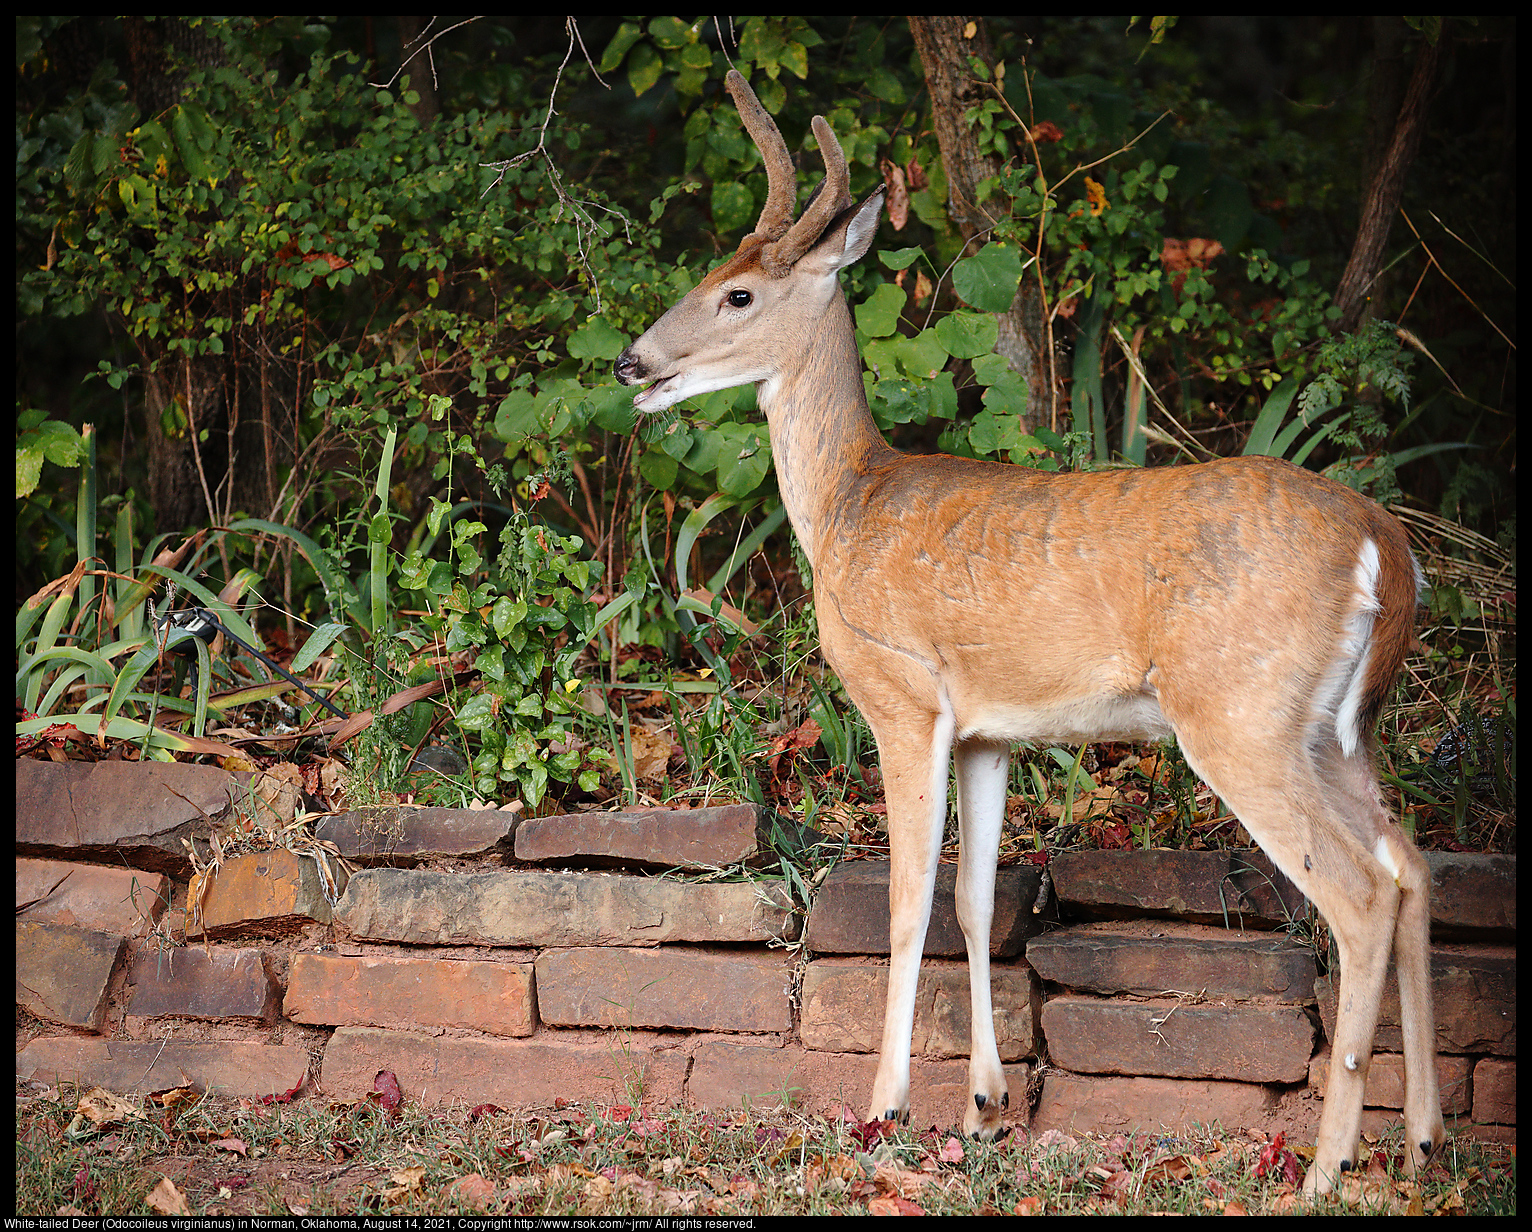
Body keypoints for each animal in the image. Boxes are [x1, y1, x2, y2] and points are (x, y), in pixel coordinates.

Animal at [612, 69, 1433, 1195]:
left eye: (737, 294)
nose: (630, 361)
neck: (846, 507)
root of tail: (1383, 547)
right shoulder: (989, 730)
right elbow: (971, 900)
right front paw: (985, 1104)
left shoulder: (902, 696)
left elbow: (907, 900)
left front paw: (885, 1106)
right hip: (1338, 727)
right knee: (1412, 866)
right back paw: (1424, 1137)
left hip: (1241, 712)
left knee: (1356, 895)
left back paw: (1324, 1167)